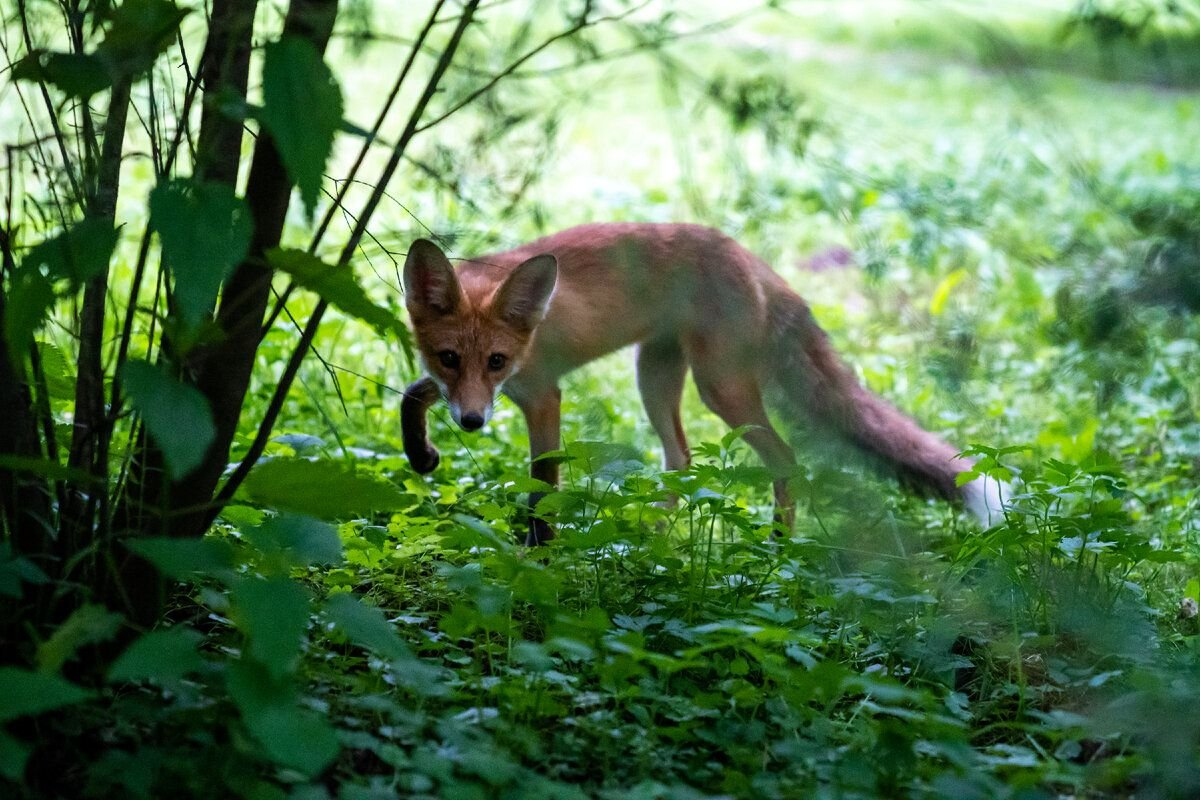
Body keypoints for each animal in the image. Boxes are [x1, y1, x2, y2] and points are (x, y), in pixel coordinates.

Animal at [400, 221, 1003, 544]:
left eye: (496, 360)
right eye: (449, 357)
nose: (471, 424)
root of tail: (749, 255)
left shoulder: (542, 395)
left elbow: (542, 488)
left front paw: (536, 556)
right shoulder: (474, 391)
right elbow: (413, 393)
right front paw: (421, 454)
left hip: (721, 388)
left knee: (785, 458)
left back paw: (776, 545)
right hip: (653, 377)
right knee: (682, 459)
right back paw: (651, 536)